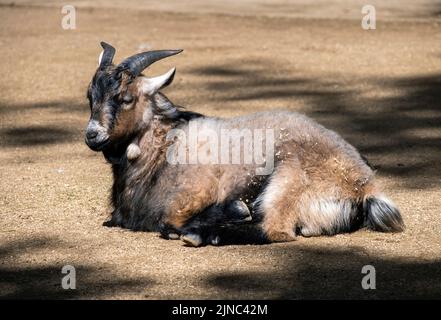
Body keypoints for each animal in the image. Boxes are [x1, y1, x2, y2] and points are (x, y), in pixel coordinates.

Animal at [84, 42, 404, 248]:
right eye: (90, 96)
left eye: (126, 98)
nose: (92, 135)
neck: (164, 149)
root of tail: (365, 187)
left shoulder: (195, 192)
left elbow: (168, 222)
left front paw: (222, 215)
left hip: (287, 179)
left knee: (275, 230)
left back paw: (206, 232)